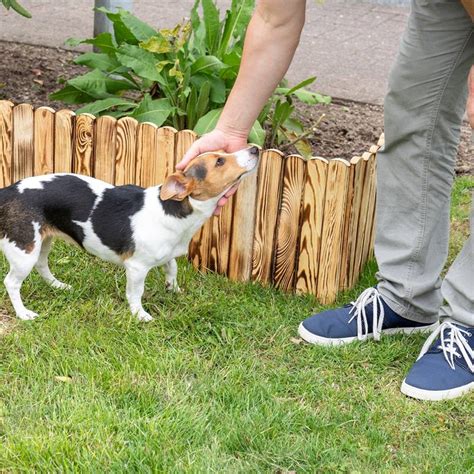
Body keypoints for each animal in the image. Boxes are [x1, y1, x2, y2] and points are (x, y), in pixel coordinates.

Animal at [0, 146, 260, 320]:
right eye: (219, 161)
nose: (255, 148)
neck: (173, 209)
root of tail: (9, 191)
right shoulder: (136, 267)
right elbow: (136, 293)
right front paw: (140, 315)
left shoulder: (168, 255)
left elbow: (172, 268)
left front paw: (173, 289)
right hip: (24, 251)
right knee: (11, 282)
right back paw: (24, 313)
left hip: (41, 242)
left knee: (42, 265)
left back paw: (58, 286)